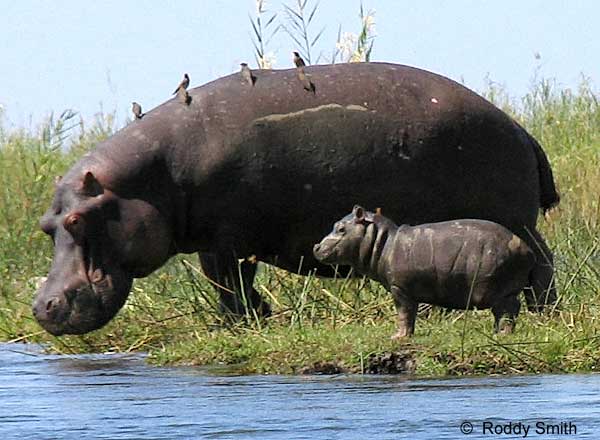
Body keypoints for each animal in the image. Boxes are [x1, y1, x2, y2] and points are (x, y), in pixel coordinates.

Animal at [314, 205, 536, 336]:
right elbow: (409, 314)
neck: (383, 242)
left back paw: (502, 334)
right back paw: (497, 332)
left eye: (341, 229)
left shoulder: (400, 289)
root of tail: (524, 246)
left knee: (508, 309)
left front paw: (397, 337)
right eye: (336, 225)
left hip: (499, 288)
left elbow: (404, 313)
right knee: (507, 310)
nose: (316, 246)